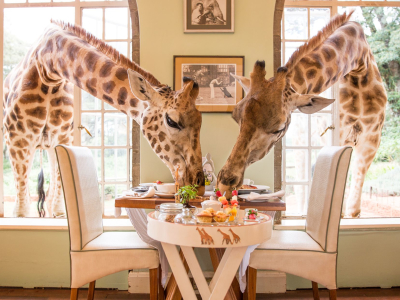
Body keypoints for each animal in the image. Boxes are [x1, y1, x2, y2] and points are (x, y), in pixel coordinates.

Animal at [5, 21, 206, 218]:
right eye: (172, 121)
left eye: (200, 122)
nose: (200, 186)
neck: (48, 67)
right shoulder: (18, 141)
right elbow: (21, 212)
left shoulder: (62, 138)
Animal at [217, 12, 386, 218]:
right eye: (236, 117)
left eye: (279, 128)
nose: (224, 185)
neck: (358, 64)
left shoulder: (371, 139)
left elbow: (353, 208)